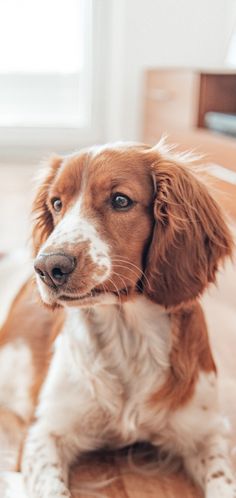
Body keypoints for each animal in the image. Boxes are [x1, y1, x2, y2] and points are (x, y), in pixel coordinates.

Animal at [0, 141, 235, 498]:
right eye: (57, 203)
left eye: (120, 200)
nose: (48, 267)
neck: (126, 335)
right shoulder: (43, 433)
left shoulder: (207, 431)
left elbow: (224, 481)